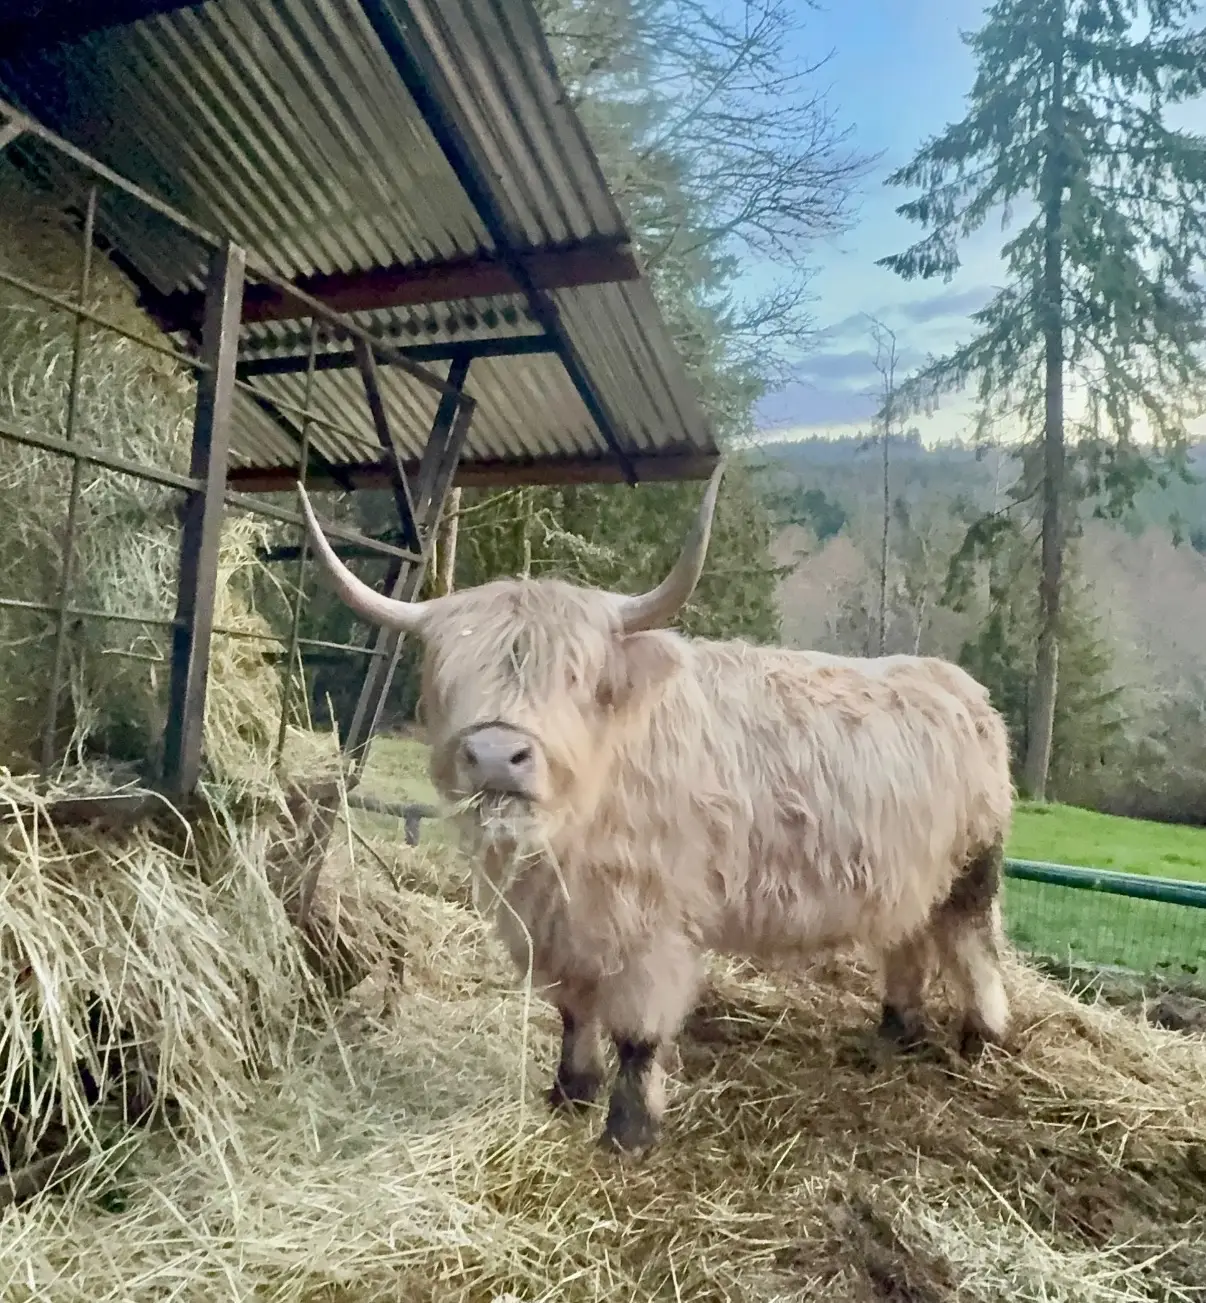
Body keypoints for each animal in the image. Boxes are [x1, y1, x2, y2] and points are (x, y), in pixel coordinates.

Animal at [296, 465, 1012, 1157]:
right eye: (447, 675)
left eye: (576, 677)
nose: (497, 756)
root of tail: (964, 687)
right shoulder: (560, 927)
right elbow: (573, 1013)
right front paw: (569, 1094)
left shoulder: (652, 926)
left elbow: (638, 1035)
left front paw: (629, 1132)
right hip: (912, 874)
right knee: (910, 940)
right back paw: (896, 1033)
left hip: (973, 868)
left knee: (974, 947)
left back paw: (978, 1040)